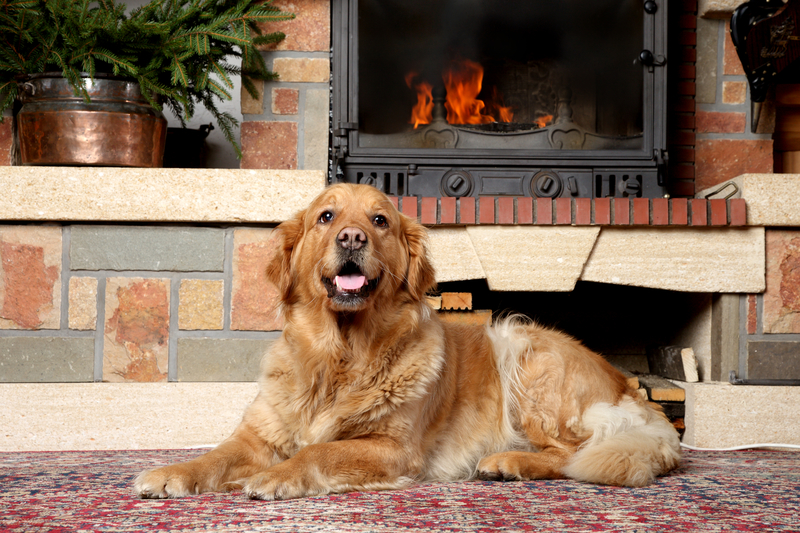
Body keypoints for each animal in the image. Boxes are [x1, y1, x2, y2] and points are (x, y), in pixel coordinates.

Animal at [134, 183, 680, 498]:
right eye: (326, 217)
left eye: (380, 221)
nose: (352, 238)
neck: (340, 355)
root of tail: (629, 387)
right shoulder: (259, 434)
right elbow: (217, 454)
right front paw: (171, 472)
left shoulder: (392, 448)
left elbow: (318, 453)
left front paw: (276, 476)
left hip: (524, 352)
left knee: (574, 452)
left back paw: (506, 461)